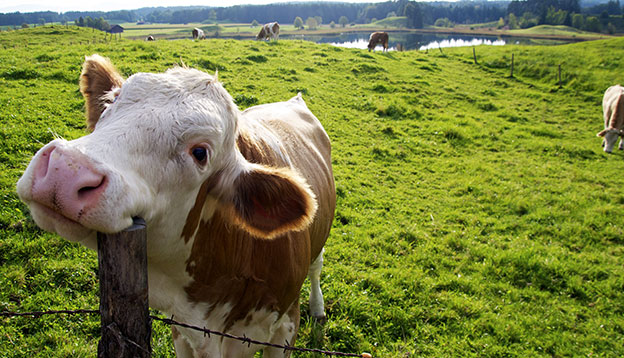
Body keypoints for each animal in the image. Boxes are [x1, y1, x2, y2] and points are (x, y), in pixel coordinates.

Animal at [15, 54, 336, 356]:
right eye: (112, 103)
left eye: (200, 152)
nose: (66, 170)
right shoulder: (183, 331)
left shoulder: (286, 326)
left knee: (316, 266)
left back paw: (318, 308)